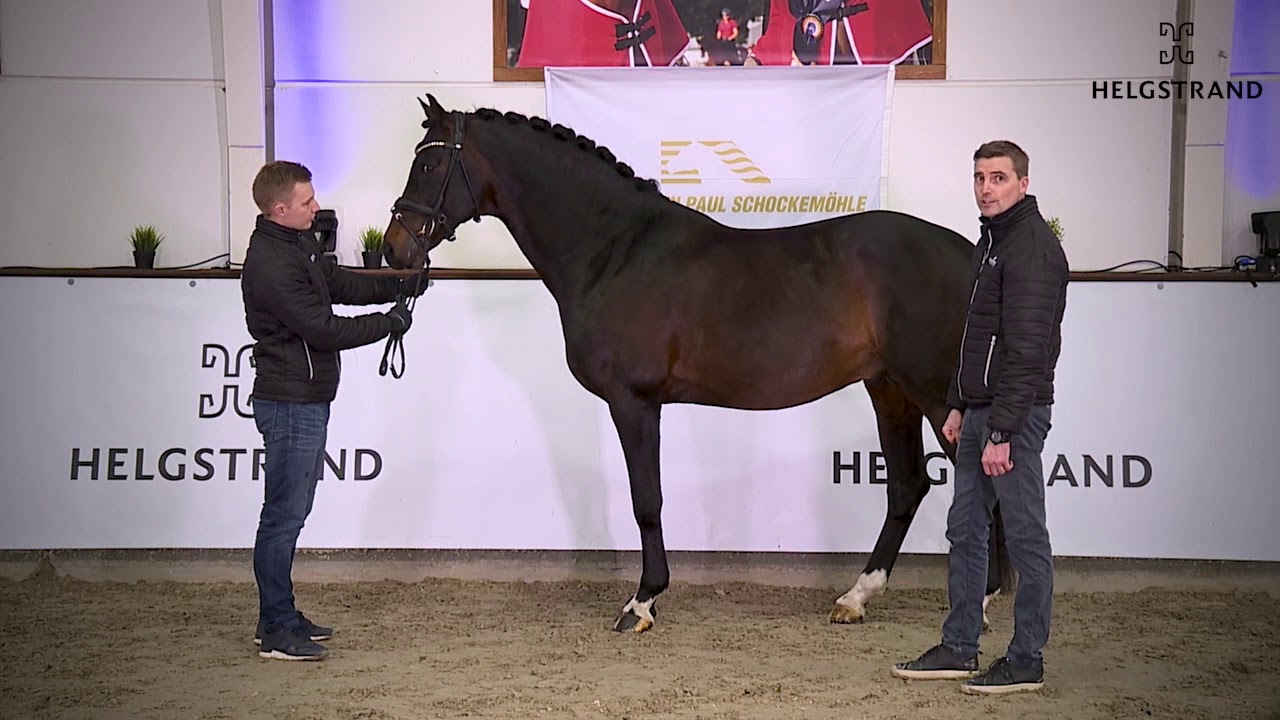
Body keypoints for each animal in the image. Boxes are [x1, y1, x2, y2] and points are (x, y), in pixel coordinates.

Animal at [382, 94, 1014, 634]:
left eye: (430, 165)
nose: (392, 249)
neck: (615, 249)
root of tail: (974, 254)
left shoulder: (634, 402)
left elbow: (647, 500)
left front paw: (642, 602)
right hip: (890, 390)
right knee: (907, 486)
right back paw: (857, 597)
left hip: (934, 391)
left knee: (977, 481)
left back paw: (981, 601)